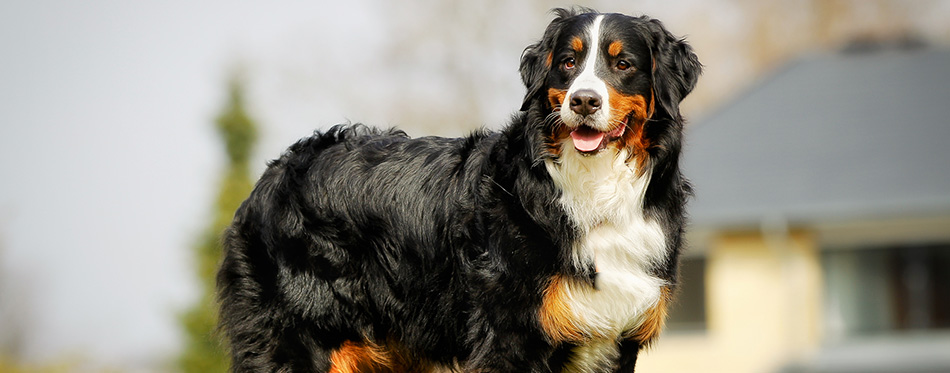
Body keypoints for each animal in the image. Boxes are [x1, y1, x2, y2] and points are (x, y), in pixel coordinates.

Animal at [219, 6, 704, 372]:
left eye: (623, 65)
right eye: (568, 62)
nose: (583, 101)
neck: (593, 186)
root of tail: (276, 171)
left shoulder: (616, 339)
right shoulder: (508, 338)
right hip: (304, 343)